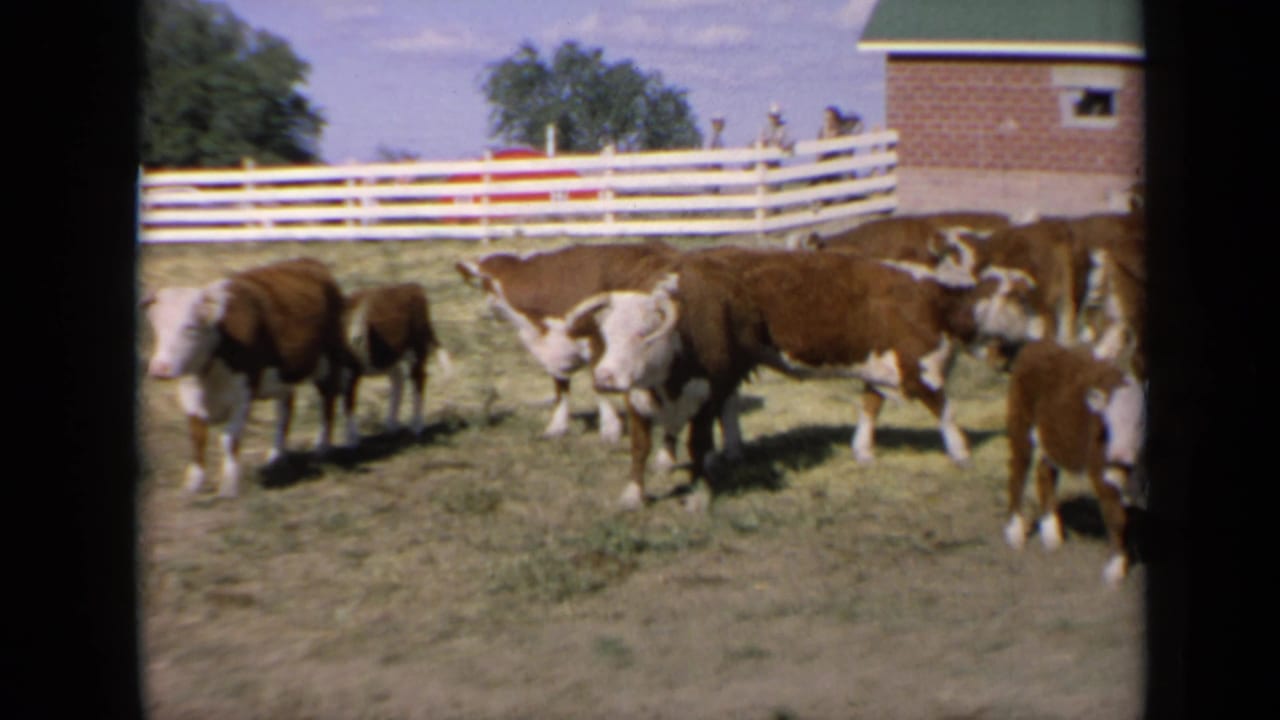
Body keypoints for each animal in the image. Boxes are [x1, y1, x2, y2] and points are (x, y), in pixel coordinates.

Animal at [141, 258, 351, 497]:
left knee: (328, 401)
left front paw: (229, 486)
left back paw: (322, 448)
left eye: (190, 328)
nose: (160, 368)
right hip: (284, 376)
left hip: (329, 360)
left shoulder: (242, 395)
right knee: (285, 409)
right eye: (156, 329)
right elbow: (197, 438)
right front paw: (193, 484)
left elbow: (229, 439)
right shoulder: (190, 394)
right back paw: (276, 456)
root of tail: (308, 262)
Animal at [340, 282, 451, 445]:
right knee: (398, 380)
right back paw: (392, 426)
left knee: (418, 379)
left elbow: (348, 402)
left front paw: (351, 441)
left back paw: (416, 427)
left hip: (416, 349)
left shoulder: (350, 371)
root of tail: (413, 287)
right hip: (394, 356)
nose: (357, 339)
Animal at [1003, 340, 1146, 587]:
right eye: (1107, 424)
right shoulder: (1101, 471)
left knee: (1044, 474)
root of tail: (1036, 346)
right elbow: (1116, 518)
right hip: (1020, 422)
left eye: (1139, 422)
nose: (1117, 455)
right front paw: (1115, 570)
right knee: (1018, 472)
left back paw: (1051, 534)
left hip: (1050, 436)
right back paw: (1015, 533)